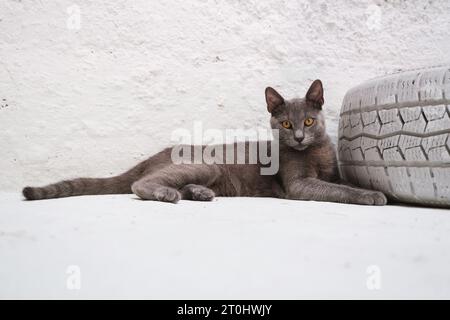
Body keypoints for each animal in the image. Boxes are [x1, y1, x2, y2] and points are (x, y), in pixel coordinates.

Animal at [22, 80, 386, 205]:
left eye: (309, 122)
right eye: (285, 124)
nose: (298, 137)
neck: (316, 152)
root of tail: (150, 157)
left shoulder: (331, 171)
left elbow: (340, 183)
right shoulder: (298, 185)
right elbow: (337, 190)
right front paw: (373, 196)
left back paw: (199, 193)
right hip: (205, 163)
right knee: (139, 185)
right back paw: (169, 194)